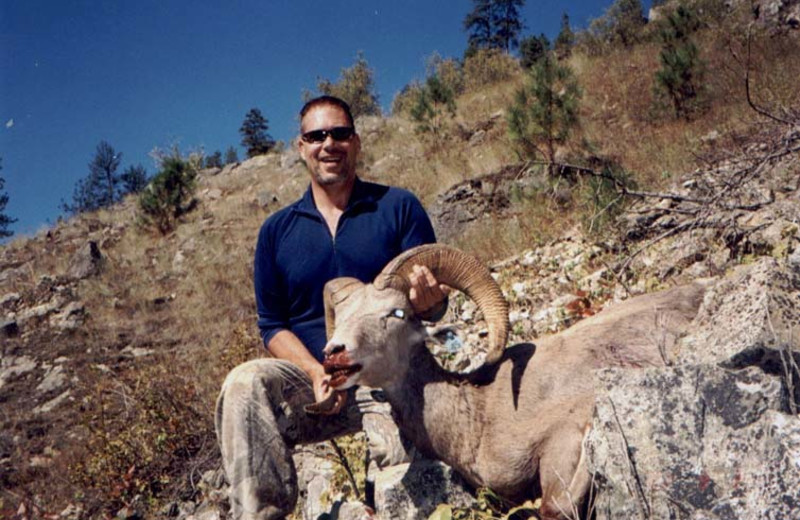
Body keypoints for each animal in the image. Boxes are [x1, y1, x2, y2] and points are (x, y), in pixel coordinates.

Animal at [320, 245, 708, 520]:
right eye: (342, 318)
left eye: (396, 313)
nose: (334, 354)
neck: (477, 416)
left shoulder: (564, 438)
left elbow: (552, 507)